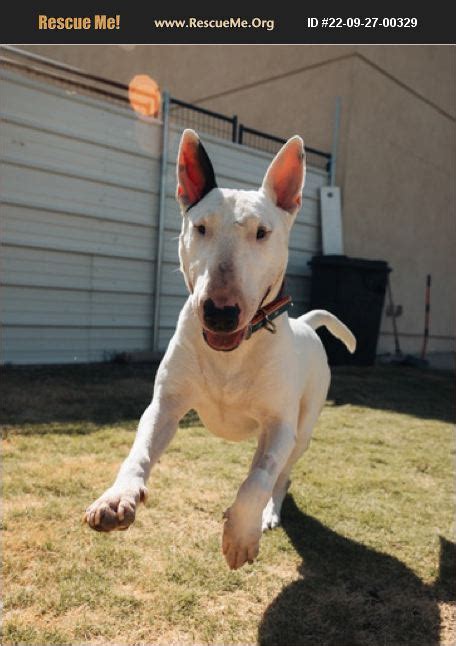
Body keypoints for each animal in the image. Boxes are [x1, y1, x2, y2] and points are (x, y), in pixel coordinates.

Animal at [85, 130, 356, 572]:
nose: (220, 312)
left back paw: (268, 513)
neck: (233, 352)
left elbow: (259, 479)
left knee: (279, 475)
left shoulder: (280, 425)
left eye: (262, 233)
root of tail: (306, 323)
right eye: (200, 228)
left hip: (303, 428)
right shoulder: (166, 405)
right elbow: (139, 451)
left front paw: (240, 536)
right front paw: (117, 497)